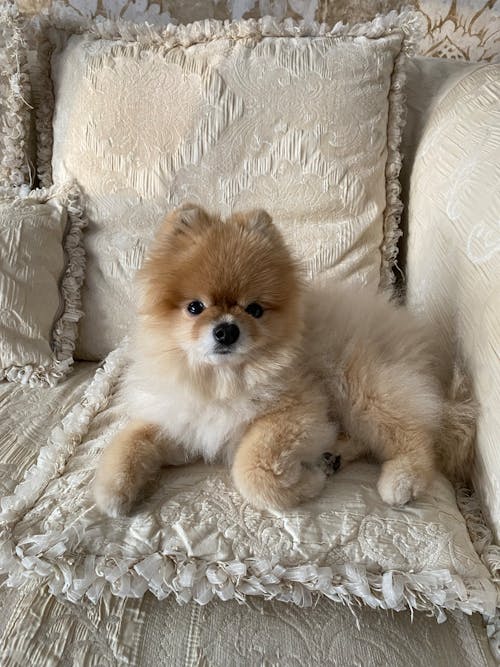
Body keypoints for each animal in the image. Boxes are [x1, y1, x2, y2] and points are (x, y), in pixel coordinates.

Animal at [94, 204, 476, 516]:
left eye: (254, 310)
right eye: (195, 307)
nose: (226, 330)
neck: (223, 380)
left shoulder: (298, 413)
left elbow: (252, 470)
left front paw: (307, 483)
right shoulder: (186, 423)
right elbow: (131, 439)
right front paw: (114, 489)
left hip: (363, 390)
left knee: (415, 436)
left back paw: (401, 480)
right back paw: (334, 457)